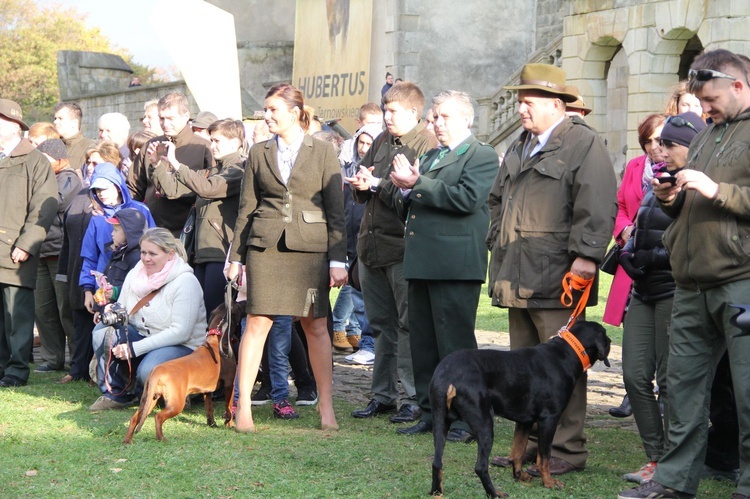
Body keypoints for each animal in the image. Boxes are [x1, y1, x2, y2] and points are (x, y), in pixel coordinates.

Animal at [122, 300, 241, 446]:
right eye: (237, 307)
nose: (240, 301)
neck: (216, 340)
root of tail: (157, 370)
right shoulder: (229, 384)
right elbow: (228, 407)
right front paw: (229, 424)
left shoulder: (207, 391)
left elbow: (209, 410)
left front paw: (212, 424)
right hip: (176, 404)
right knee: (158, 417)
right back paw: (161, 439)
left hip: (148, 400)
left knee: (135, 418)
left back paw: (128, 441)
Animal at [428, 322, 612, 498]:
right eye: (605, 334)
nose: (610, 341)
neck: (567, 352)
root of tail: (447, 376)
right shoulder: (549, 419)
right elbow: (544, 457)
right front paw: (549, 482)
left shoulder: (525, 421)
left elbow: (518, 451)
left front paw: (519, 475)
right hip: (484, 421)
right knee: (480, 467)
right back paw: (495, 494)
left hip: (440, 421)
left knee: (437, 462)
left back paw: (437, 492)